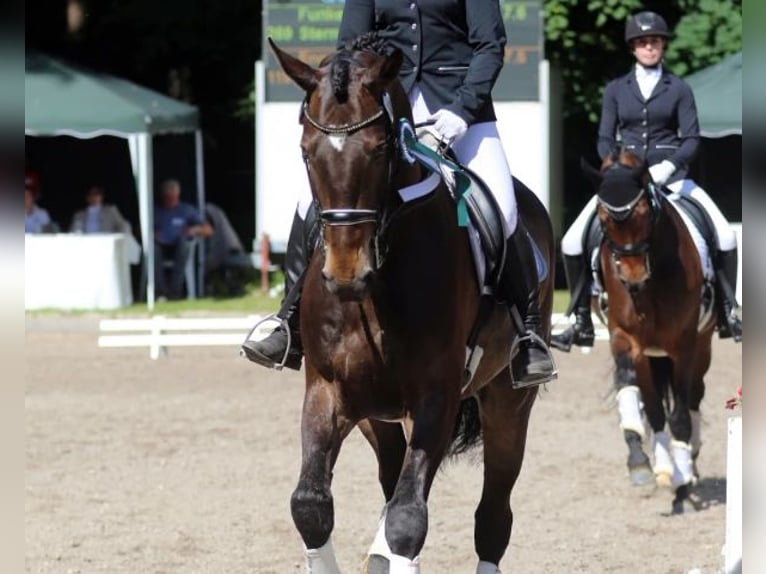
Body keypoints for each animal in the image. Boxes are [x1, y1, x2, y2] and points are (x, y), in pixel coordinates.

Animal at [588, 151, 720, 516]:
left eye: (646, 214)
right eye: (603, 218)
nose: (633, 279)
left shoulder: (685, 346)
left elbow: (681, 414)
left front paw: (683, 485)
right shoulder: (625, 339)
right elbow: (636, 395)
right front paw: (643, 464)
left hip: (702, 347)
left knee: (694, 396)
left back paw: (691, 460)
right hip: (649, 355)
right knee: (654, 404)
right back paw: (663, 466)